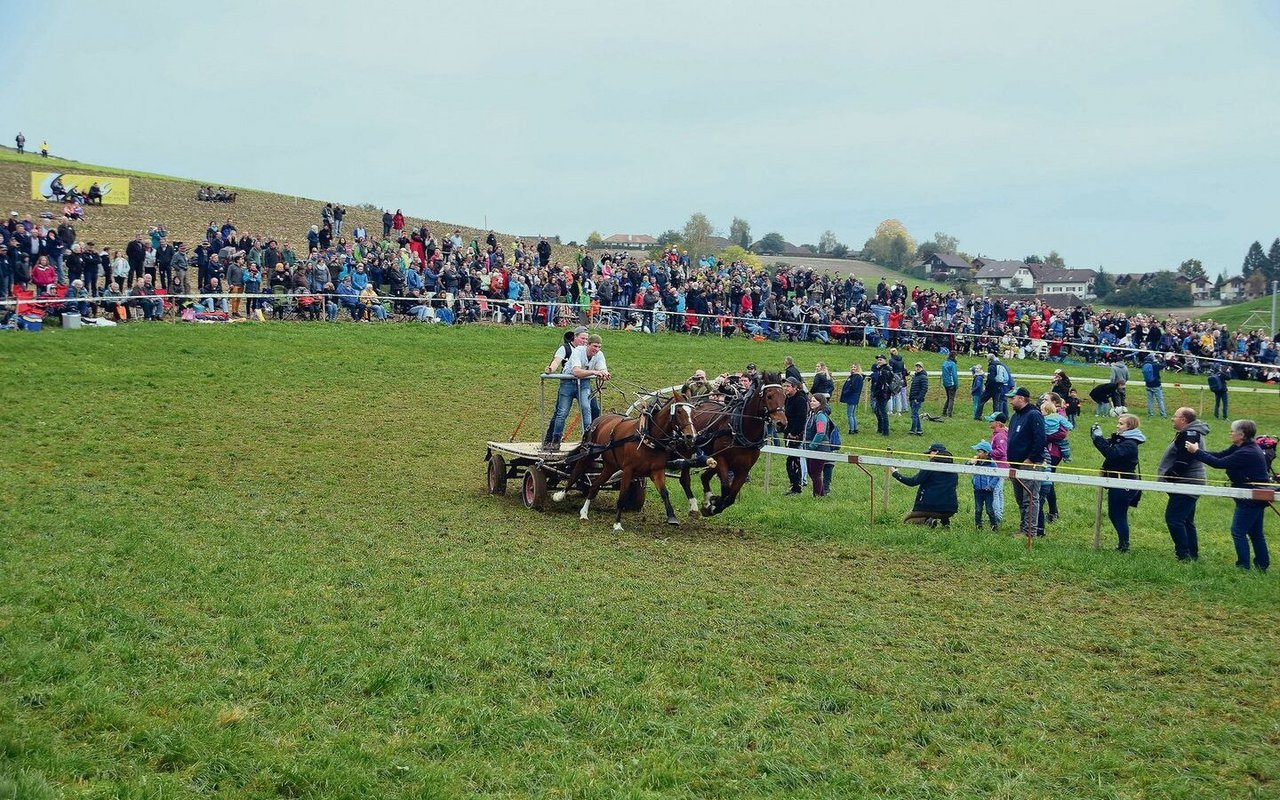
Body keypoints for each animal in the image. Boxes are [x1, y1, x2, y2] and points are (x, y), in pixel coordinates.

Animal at [547, 389, 696, 527]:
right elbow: (623, 494)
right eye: (679, 411)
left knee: (594, 485)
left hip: (610, 466)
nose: (691, 436)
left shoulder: (657, 470)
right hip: (588, 454)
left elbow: (664, 492)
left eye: (693, 412)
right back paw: (560, 495)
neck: (647, 436)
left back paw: (584, 513)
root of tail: (599, 419)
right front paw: (617, 523)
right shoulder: (628, 470)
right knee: (576, 472)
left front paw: (672, 517)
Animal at [680, 368, 788, 514]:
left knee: (704, 477)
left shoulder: (743, 468)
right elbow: (726, 488)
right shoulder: (721, 459)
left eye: (784, 396)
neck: (741, 430)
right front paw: (714, 503)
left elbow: (731, 496)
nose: (782, 423)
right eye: (769, 396)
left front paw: (712, 505)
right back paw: (694, 506)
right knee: (685, 479)